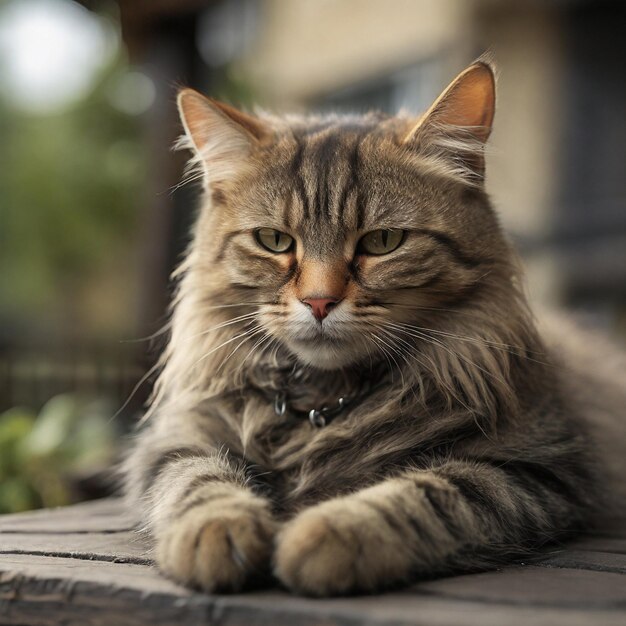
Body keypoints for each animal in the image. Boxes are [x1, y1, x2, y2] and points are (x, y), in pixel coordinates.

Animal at [123, 57, 624, 596]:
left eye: (383, 242)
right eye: (274, 241)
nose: (319, 302)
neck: (322, 404)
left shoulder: (536, 466)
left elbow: (426, 495)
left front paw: (326, 534)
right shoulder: (178, 441)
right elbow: (199, 481)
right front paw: (217, 534)